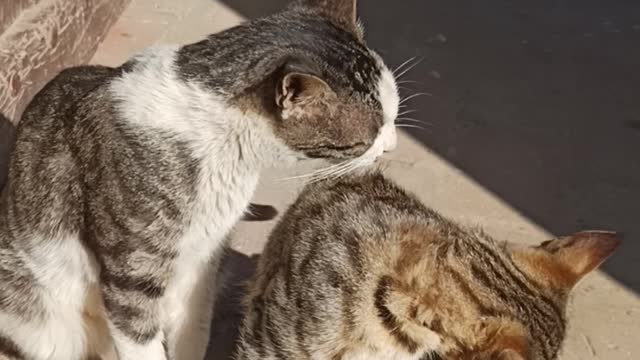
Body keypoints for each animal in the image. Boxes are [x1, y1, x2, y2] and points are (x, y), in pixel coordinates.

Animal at [0, 1, 400, 358]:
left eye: (392, 117)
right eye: (374, 131)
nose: (393, 144)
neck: (228, 149)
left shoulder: (203, 261)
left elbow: (194, 326)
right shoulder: (133, 273)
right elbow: (140, 338)